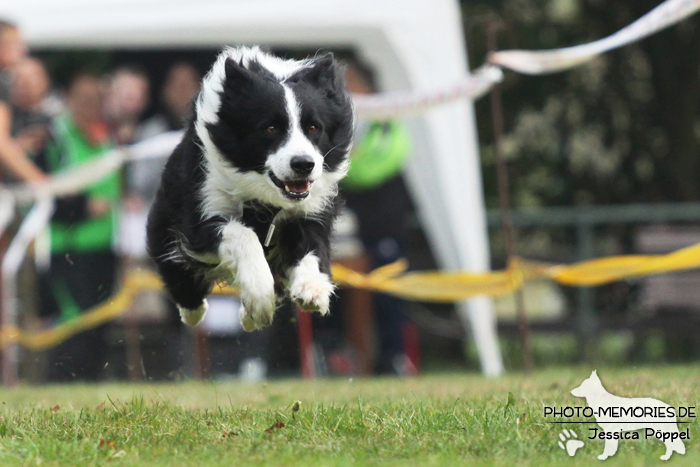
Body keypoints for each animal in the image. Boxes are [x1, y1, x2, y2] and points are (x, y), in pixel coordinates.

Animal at [148, 46, 356, 332]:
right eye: (270, 128)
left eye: (314, 127)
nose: (303, 164)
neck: (266, 200)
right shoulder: (201, 213)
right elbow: (242, 234)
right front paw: (259, 299)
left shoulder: (309, 209)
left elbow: (312, 246)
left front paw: (312, 289)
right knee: (176, 270)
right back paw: (195, 311)